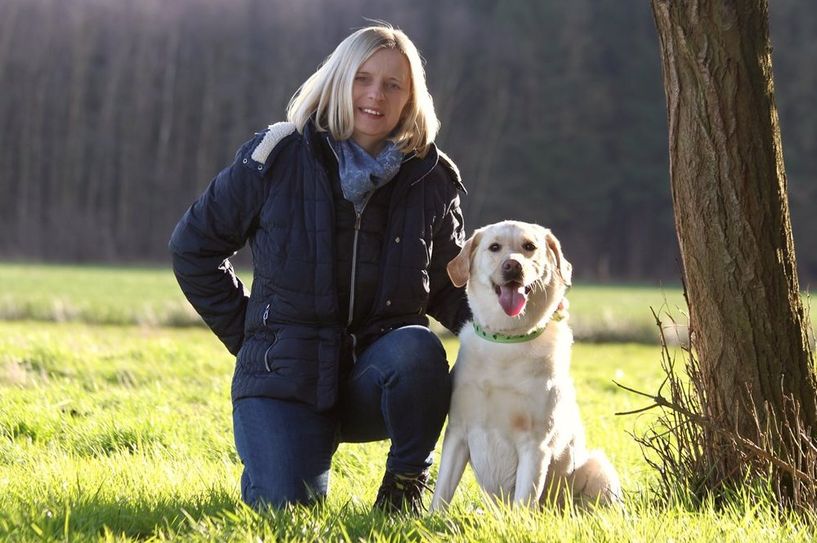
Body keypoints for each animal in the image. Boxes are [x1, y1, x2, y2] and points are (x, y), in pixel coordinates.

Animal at [430, 220, 620, 510]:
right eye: (494, 247)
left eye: (529, 247)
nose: (512, 266)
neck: (507, 340)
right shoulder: (457, 432)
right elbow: (441, 493)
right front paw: (429, 518)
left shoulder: (535, 442)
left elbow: (524, 501)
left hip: (598, 468)